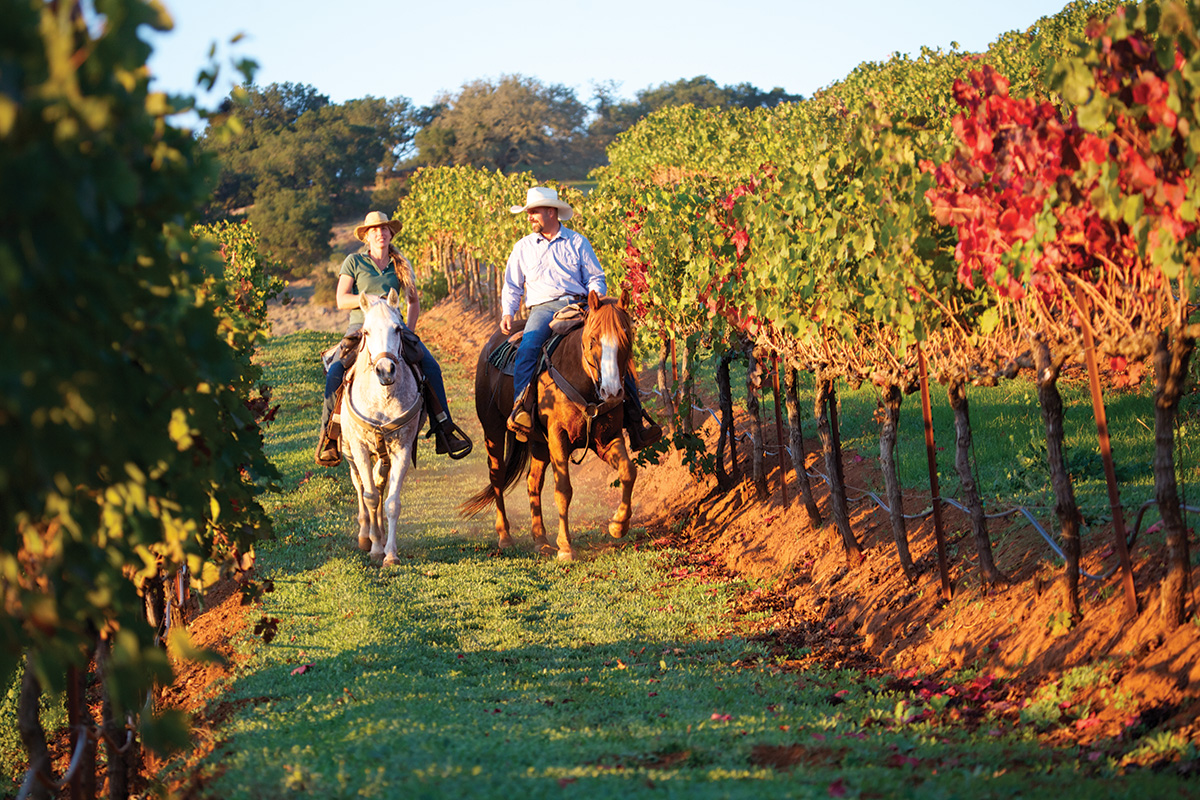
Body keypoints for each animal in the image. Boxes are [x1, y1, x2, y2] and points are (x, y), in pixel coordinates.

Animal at [340, 291, 424, 566]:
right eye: (366, 332)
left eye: (397, 329)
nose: (386, 370)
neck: (382, 397)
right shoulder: (359, 448)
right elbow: (369, 496)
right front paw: (375, 546)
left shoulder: (402, 448)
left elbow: (390, 502)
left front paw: (390, 554)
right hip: (349, 451)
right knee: (360, 485)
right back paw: (365, 534)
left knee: (378, 483)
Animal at [458, 291, 638, 561]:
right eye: (593, 339)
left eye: (627, 337)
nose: (612, 391)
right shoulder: (557, 436)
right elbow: (563, 489)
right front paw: (565, 547)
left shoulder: (607, 438)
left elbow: (628, 471)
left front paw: (618, 525)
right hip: (493, 429)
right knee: (497, 476)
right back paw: (505, 536)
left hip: (538, 443)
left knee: (533, 482)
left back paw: (540, 539)